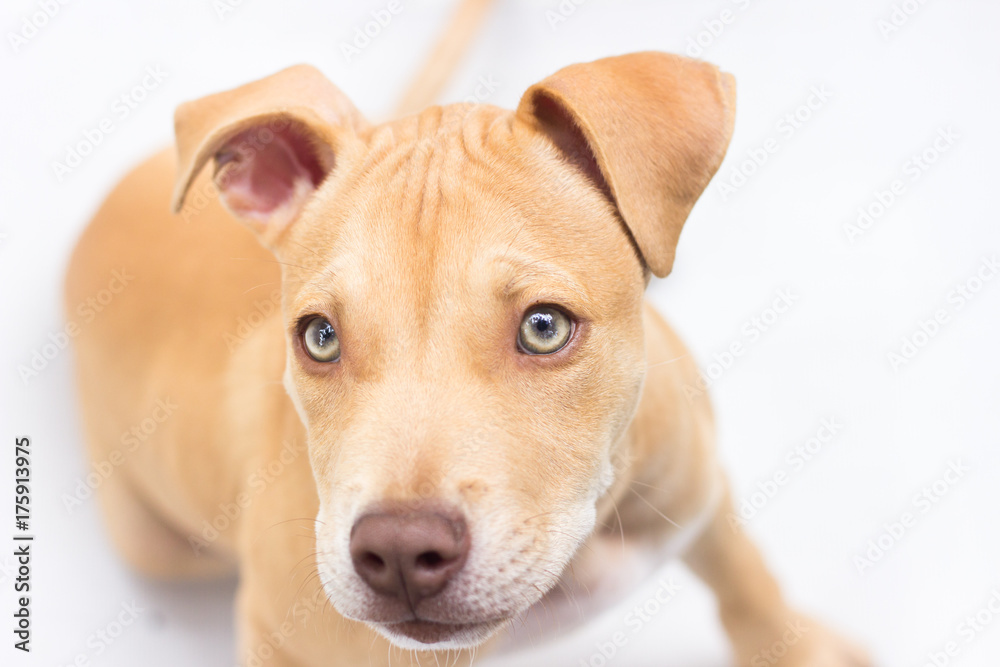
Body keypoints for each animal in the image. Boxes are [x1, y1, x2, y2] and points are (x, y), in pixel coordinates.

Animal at [66, 49, 872, 664]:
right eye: (320, 336)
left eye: (544, 327)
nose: (398, 552)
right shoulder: (277, 636)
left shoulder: (700, 489)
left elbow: (747, 583)